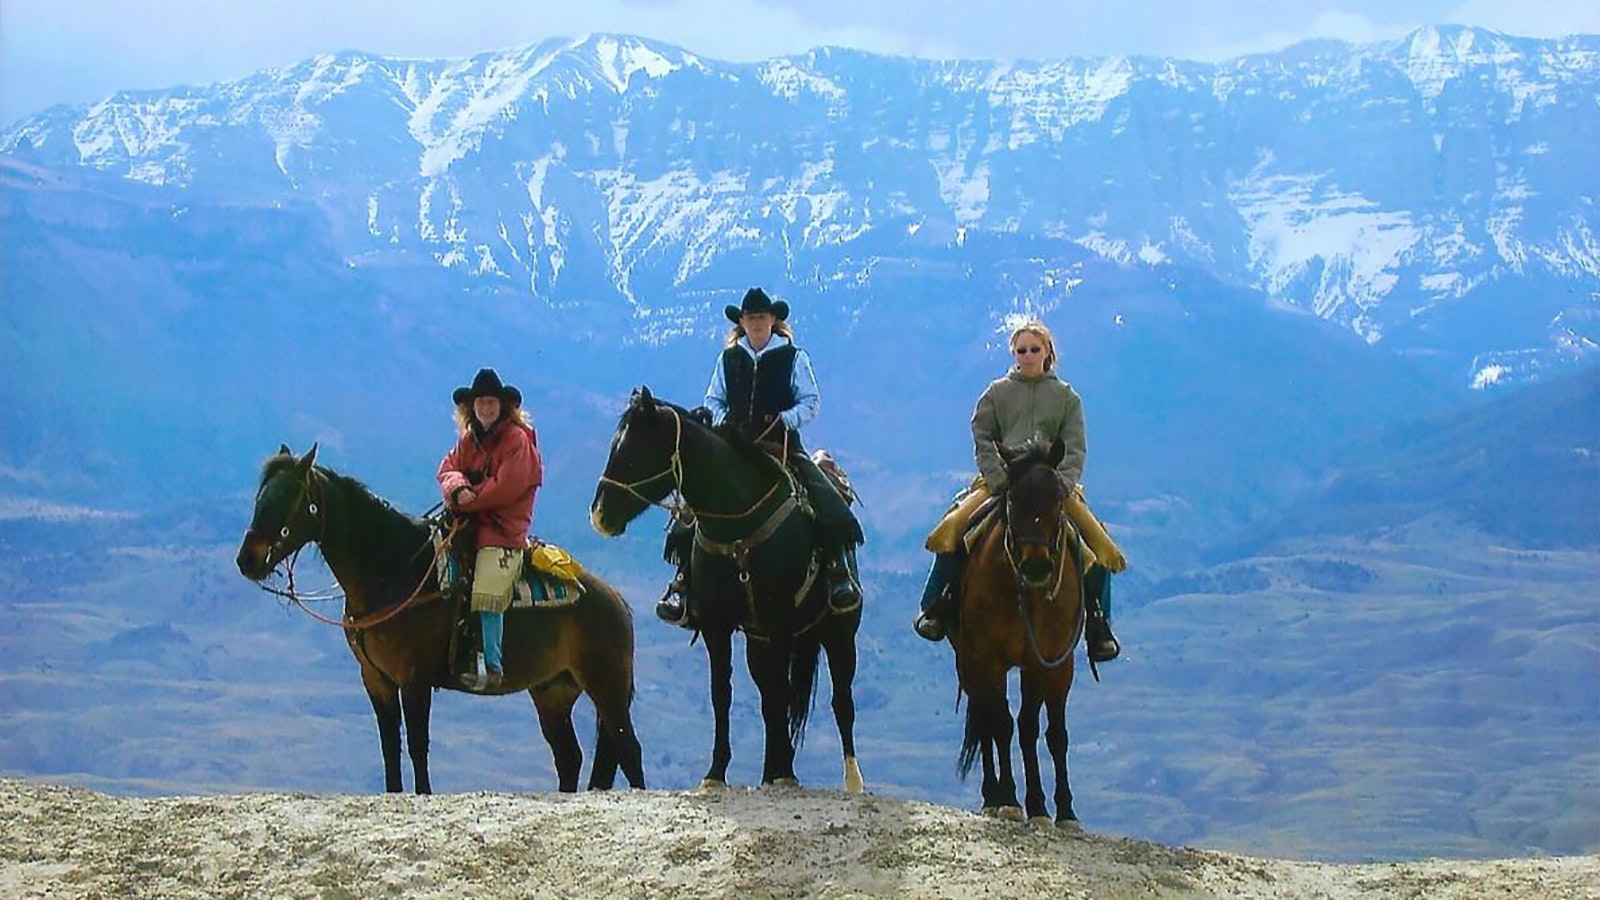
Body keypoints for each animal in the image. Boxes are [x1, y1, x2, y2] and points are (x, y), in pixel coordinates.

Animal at [233, 441, 646, 791]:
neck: (395, 570)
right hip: (553, 692)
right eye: (260, 497)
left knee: (629, 751)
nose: (248, 560)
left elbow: (418, 746)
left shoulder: (413, 679)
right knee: (569, 757)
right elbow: (390, 748)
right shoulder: (376, 680)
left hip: (606, 687)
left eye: (288, 499)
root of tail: (617, 602)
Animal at [588, 387, 864, 791]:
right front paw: (717, 772)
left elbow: (783, 697)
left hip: (839, 632)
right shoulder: (717, 626)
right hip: (758, 643)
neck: (737, 525)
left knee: (841, 701)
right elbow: (724, 695)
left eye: (634, 454)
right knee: (769, 698)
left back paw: (851, 781)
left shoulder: (780, 620)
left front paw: (784, 772)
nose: (600, 515)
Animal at [947, 438, 1088, 826]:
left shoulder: (1052, 663)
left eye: (1057, 499)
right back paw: (992, 796)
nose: (1036, 566)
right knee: (985, 720)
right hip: (969, 662)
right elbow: (1002, 726)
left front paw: (1057, 809)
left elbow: (1048, 733)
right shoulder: (990, 659)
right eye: (1012, 499)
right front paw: (1010, 799)